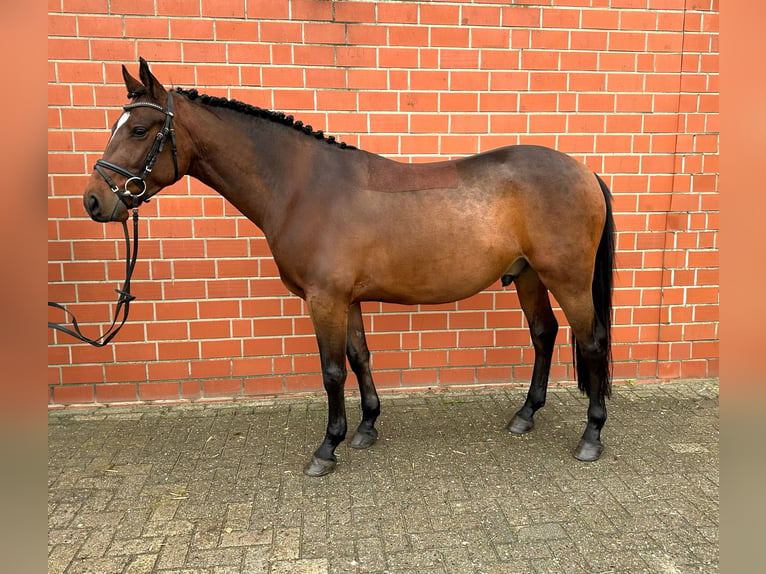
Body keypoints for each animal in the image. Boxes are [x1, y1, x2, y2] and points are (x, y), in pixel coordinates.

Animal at [82, 58, 616, 476]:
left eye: (139, 129)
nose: (94, 201)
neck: (301, 187)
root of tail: (585, 171)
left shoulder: (326, 299)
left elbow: (333, 371)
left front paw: (327, 448)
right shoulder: (348, 299)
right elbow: (360, 359)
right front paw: (366, 427)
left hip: (567, 279)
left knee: (591, 342)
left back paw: (591, 436)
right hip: (527, 274)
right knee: (544, 334)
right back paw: (525, 414)